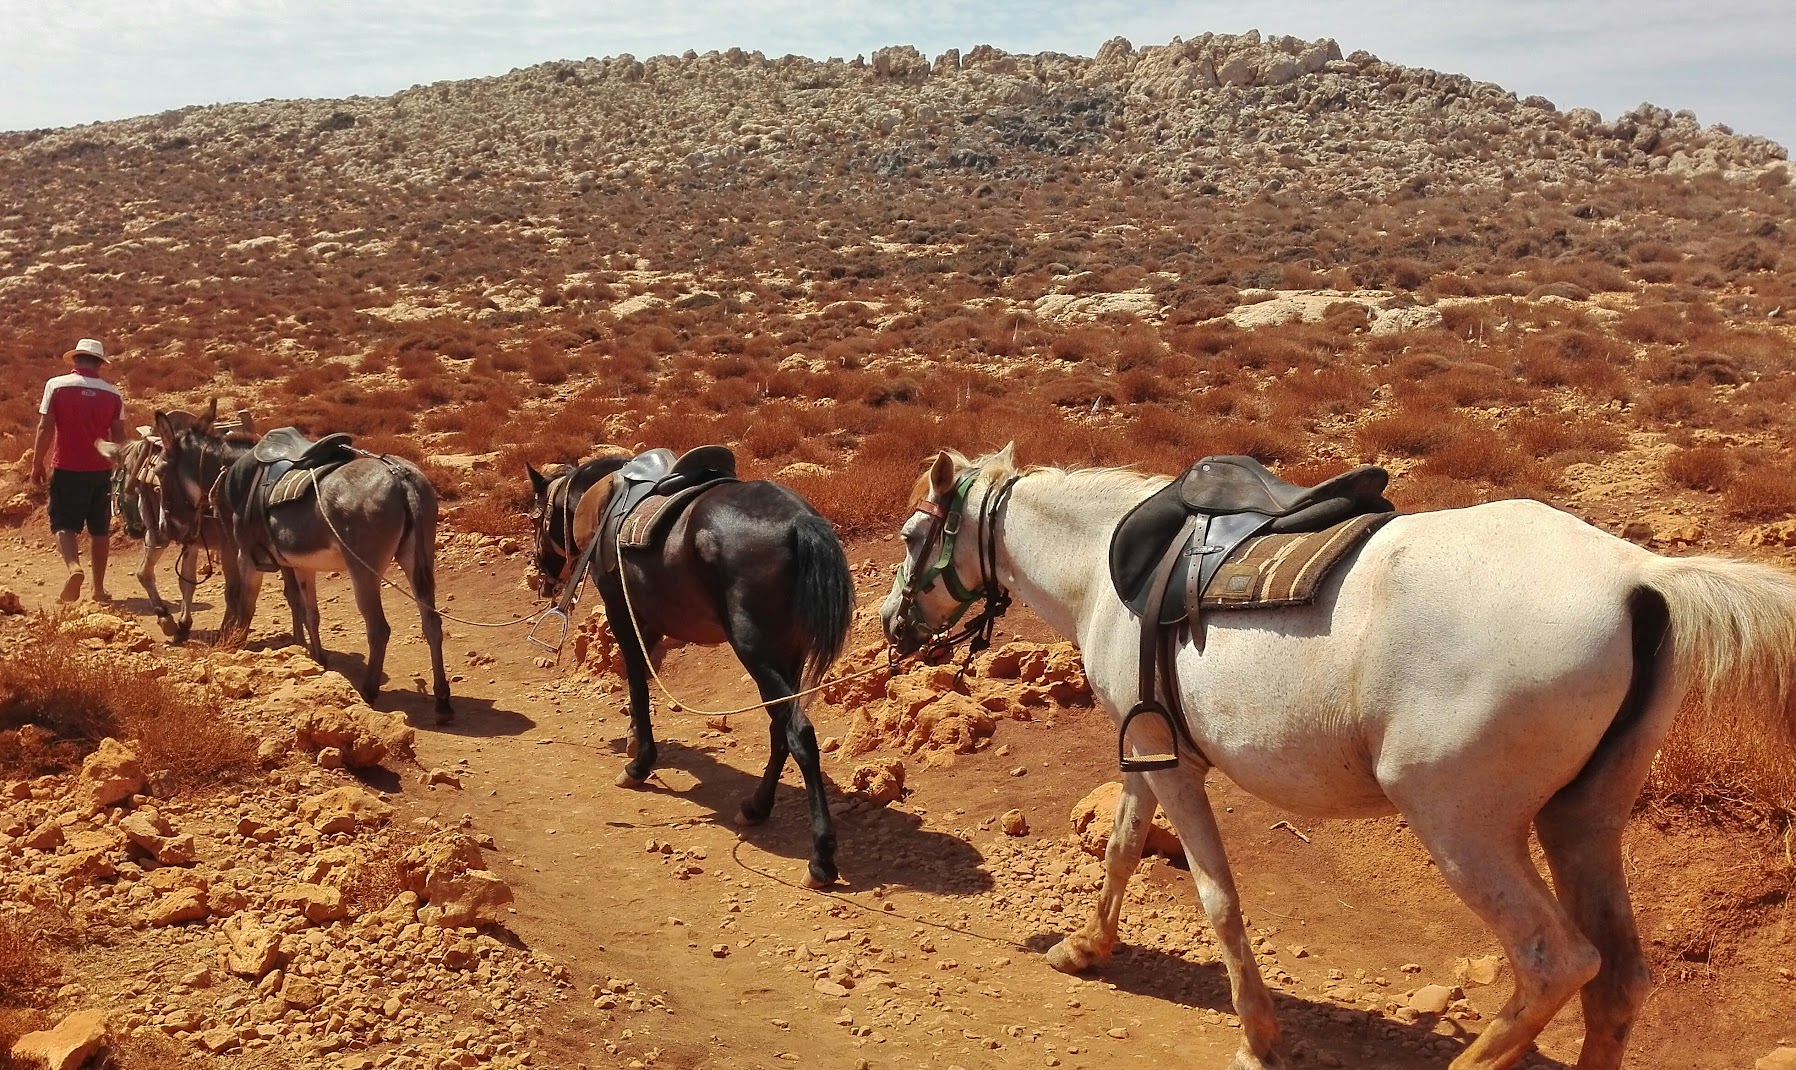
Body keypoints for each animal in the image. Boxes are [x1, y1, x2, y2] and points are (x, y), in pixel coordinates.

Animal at [524, 450, 854, 886]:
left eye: (534, 518)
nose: (541, 576)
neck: (603, 497)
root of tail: (799, 521)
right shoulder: (648, 620)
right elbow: (641, 679)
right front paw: (633, 740)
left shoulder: (620, 610)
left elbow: (636, 680)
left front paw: (639, 763)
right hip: (789, 654)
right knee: (780, 728)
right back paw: (756, 807)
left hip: (757, 652)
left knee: (798, 732)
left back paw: (821, 859)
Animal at [880, 447, 1796, 1070]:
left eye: (913, 533)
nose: (891, 625)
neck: (1106, 566)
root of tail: (1641, 578)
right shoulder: (1147, 749)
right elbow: (1121, 849)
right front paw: (1087, 948)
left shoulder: (1171, 765)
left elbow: (1216, 897)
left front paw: (1260, 1035)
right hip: (1584, 821)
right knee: (1619, 980)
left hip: (1462, 827)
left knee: (1555, 961)